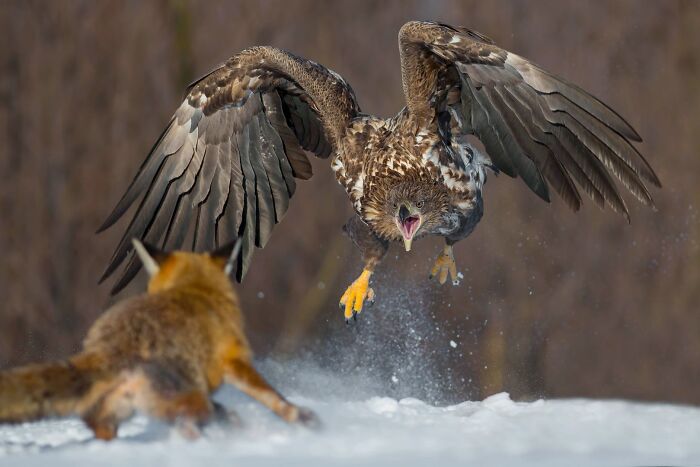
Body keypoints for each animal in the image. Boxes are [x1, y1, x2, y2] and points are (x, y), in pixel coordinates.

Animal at [0, 239, 315, 440]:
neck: (194, 287)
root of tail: (110, 347)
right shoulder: (234, 359)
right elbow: (273, 397)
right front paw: (302, 418)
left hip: (120, 409)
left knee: (103, 428)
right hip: (187, 398)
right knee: (190, 424)